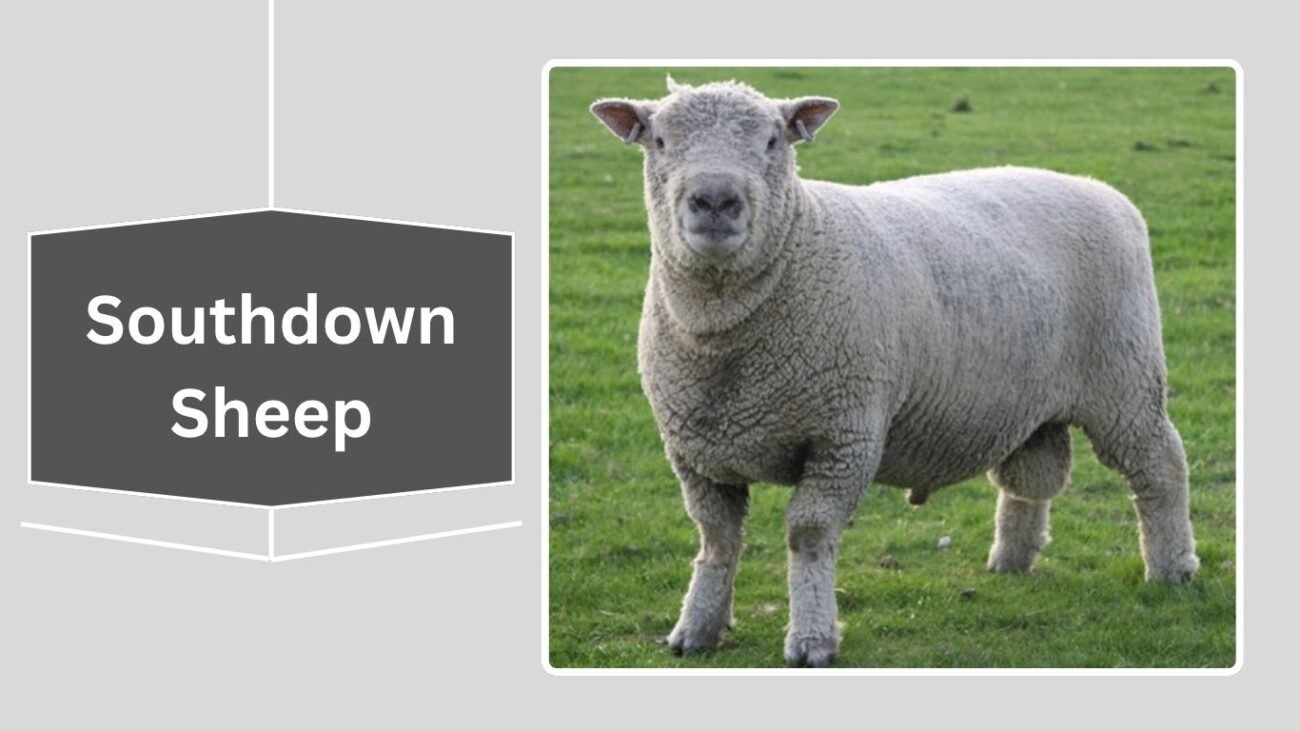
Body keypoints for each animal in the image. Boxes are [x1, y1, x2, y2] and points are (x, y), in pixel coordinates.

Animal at [589, 78, 1199, 667]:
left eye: (773, 141)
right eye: (659, 141)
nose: (715, 200)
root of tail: (1099, 188)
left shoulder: (844, 434)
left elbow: (808, 533)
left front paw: (811, 640)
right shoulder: (694, 451)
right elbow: (717, 539)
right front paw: (697, 629)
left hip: (1125, 382)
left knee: (1160, 467)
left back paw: (1172, 569)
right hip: (1031, 399)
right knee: (1032, 478)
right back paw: (1011, 560)